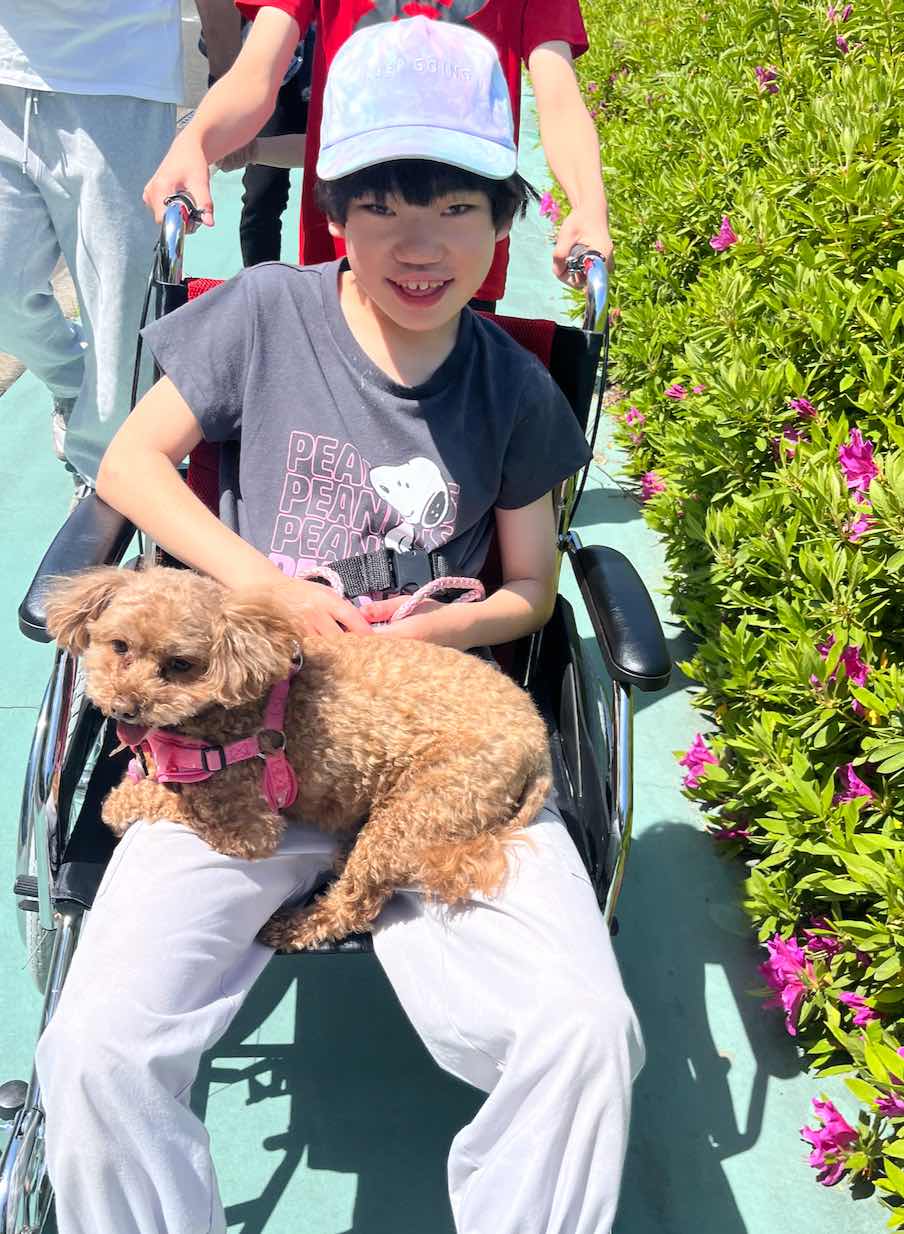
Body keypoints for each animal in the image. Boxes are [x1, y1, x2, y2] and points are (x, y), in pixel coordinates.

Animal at [44, 566, 552, 950]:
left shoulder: (246, 825)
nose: (124, 708)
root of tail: (540, 741)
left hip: (427, 802)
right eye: (120, 646)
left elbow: (170, 798)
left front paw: (119, 803)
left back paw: (294, 927)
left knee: (357, 903)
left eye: (180, 665)